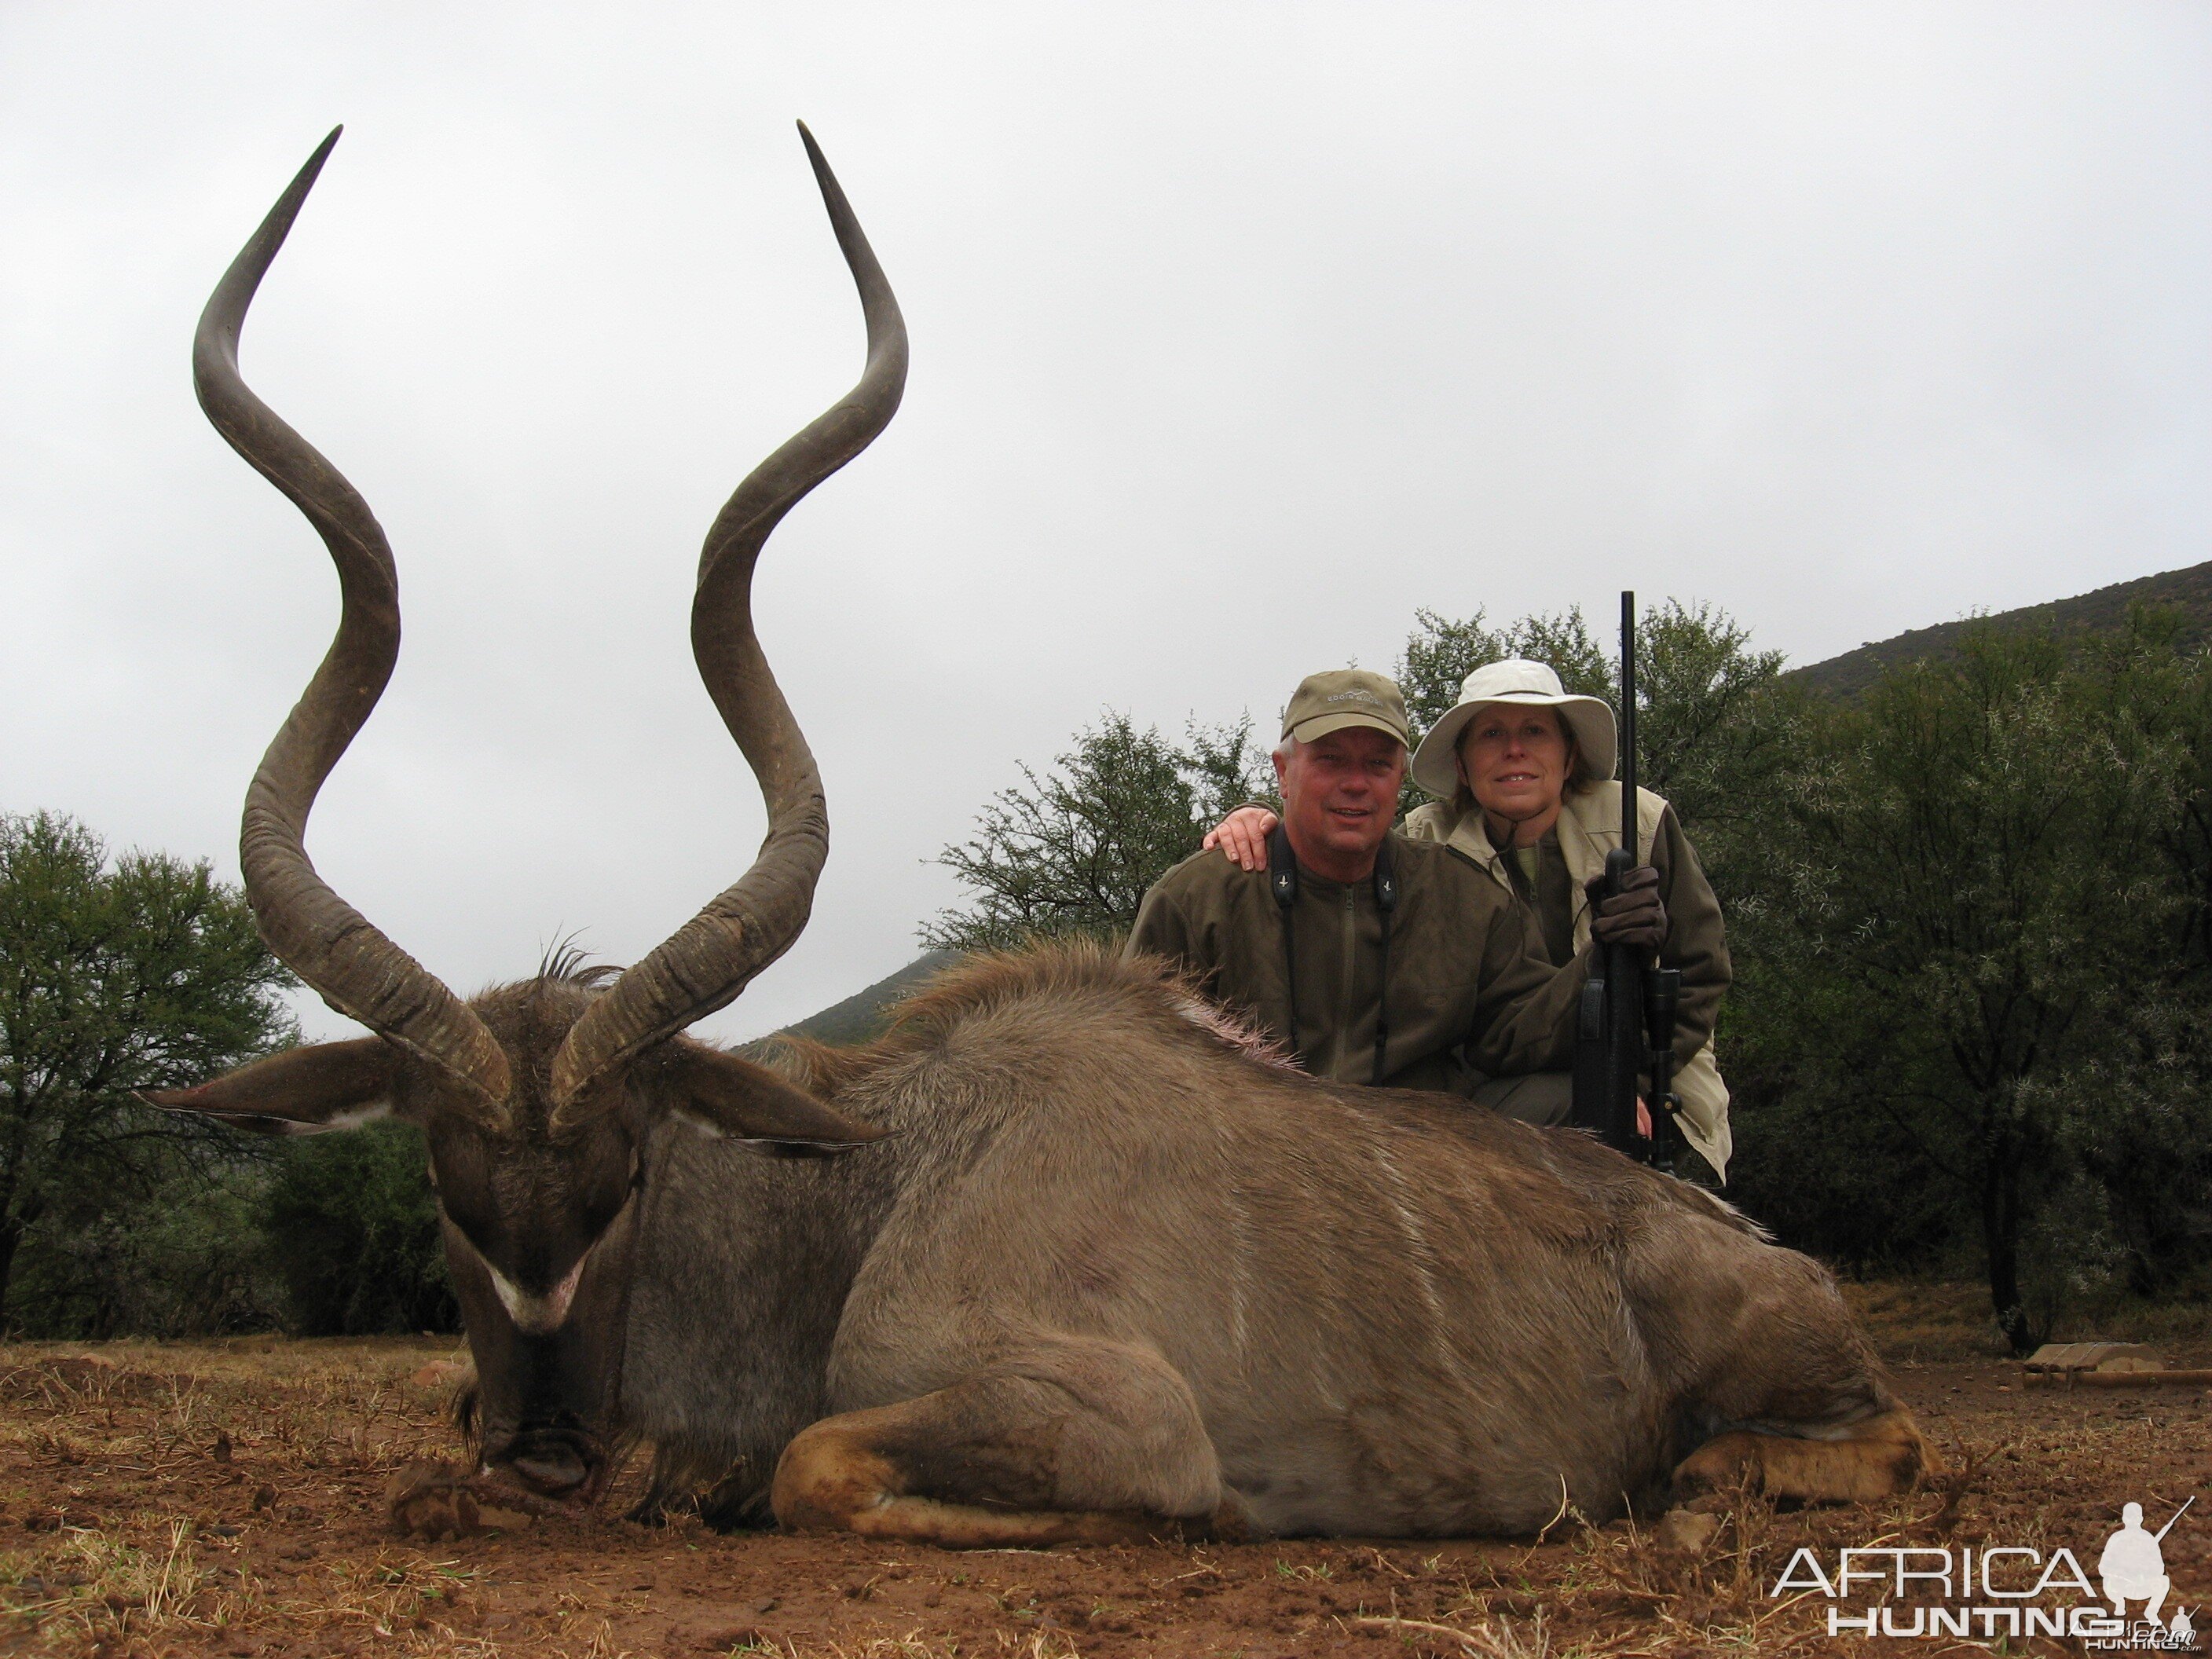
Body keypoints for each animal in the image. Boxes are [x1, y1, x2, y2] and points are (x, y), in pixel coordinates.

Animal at [151, 126, 1937, 1548]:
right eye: (446, 1185)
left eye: (622, 1175)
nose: (537, 1449)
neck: (874, 1183)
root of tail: (1748, 1243)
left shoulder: (1116, 1410)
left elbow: (819, 1466)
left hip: (1806, 1375)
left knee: (1896, 1441)